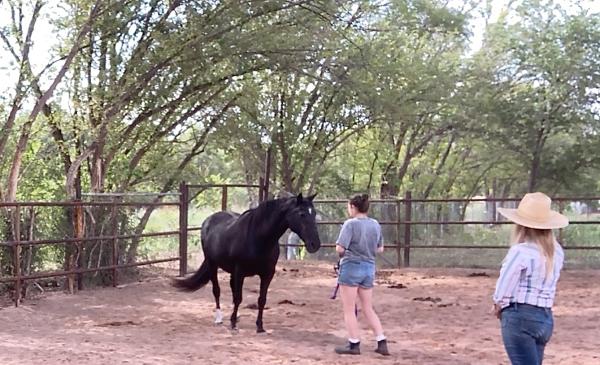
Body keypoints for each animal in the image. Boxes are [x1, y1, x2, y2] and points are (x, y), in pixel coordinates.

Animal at [171, 193, 322, 332]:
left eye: (314, 213)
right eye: (302, 214)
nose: (315, 245)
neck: (258, 238)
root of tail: (209, 220)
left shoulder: (267, 274)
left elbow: (261, 299)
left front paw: (259, 326)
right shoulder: (240, 271)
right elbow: (239, 297)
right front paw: (233, 324)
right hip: (212, 264)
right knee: (217, 291)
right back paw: (219, 318)